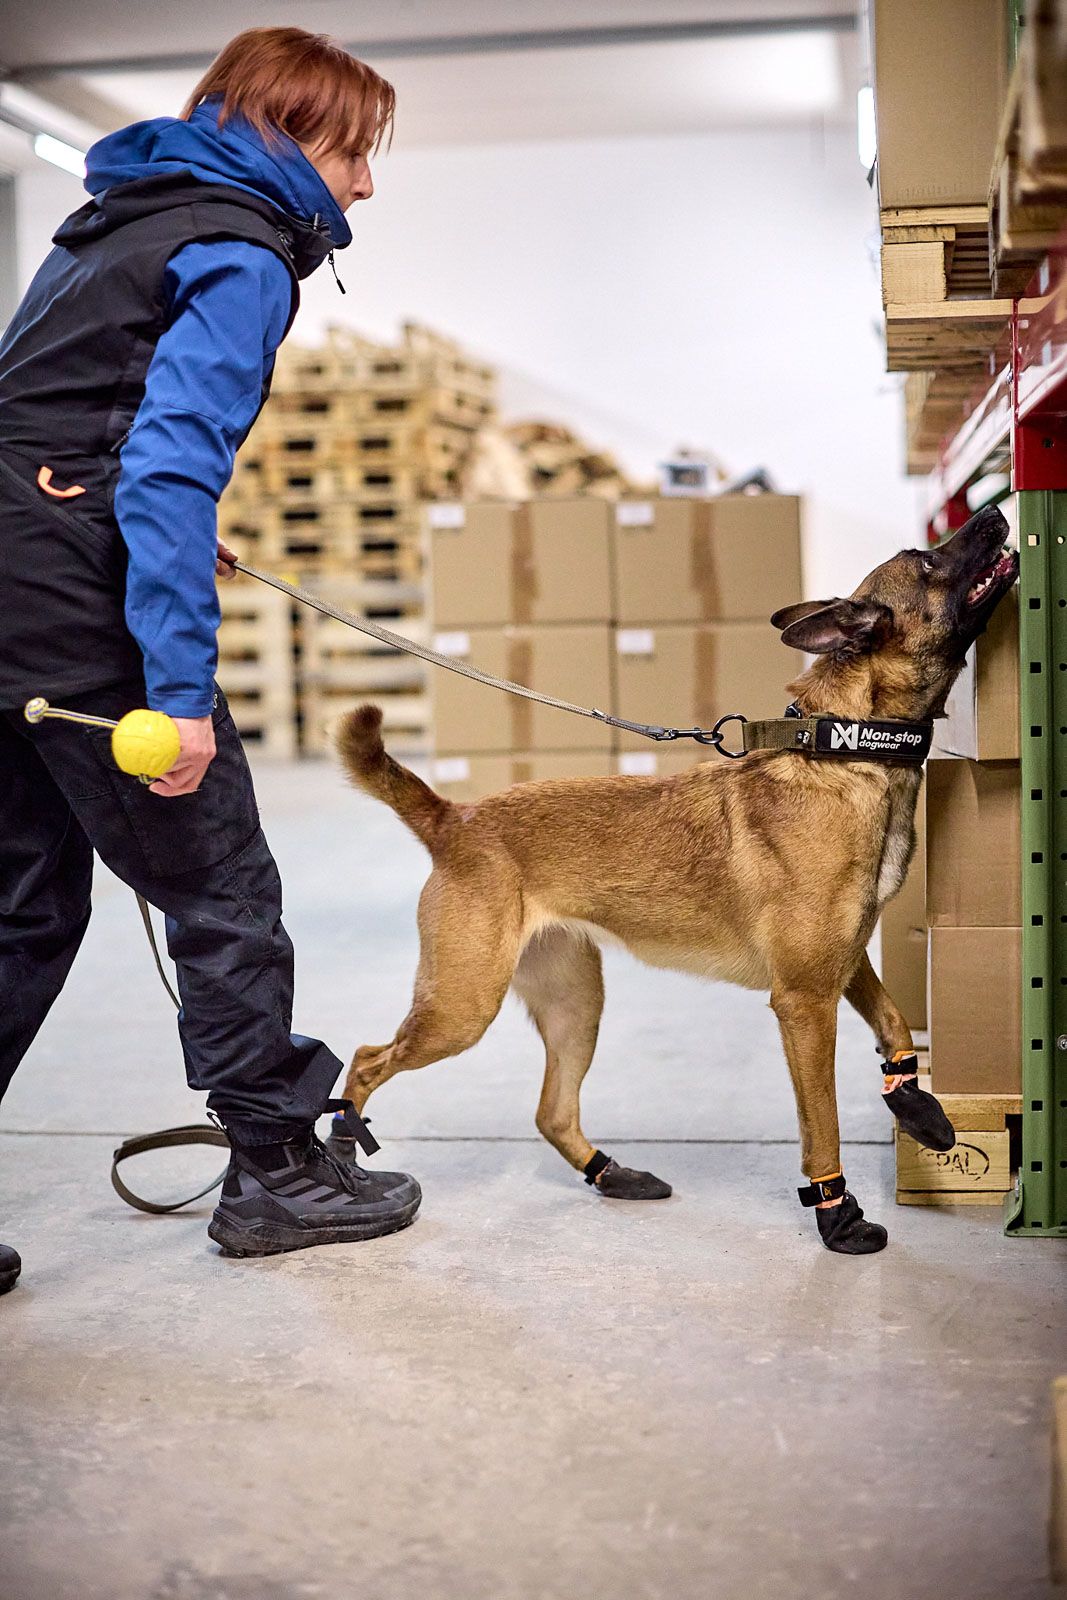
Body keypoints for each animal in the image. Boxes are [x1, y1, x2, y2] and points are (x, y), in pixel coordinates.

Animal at [331, 505, 1017, 1254]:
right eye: (926, 561)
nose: (991, 512)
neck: (844, 750)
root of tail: (454, 818)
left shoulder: (842, 960)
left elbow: (893, 1023)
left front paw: (916, 1103)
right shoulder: (804, 1000)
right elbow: (823, 1124)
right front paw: (836, 1212)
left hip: (574, 1007)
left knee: (551, 1111)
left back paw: (610, 1173)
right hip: (460, 1009)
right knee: (364, 1060)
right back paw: (342, 1153)